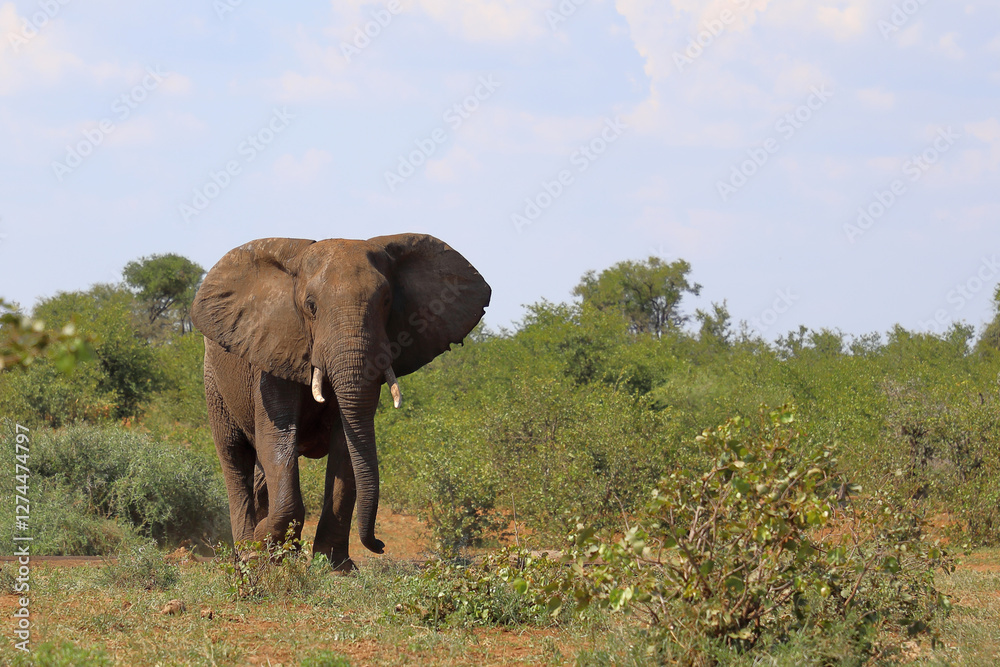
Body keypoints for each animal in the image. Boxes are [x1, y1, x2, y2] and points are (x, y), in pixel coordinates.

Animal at [190, 234, 490, 570]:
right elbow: (277, 438)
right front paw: (263, 545)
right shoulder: (273, 350)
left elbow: (346, 445)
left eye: (386, 300)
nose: (380, 545)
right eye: (311, 306)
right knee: (234, 456)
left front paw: (336, 568)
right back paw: (248, 554)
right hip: (213, 383)